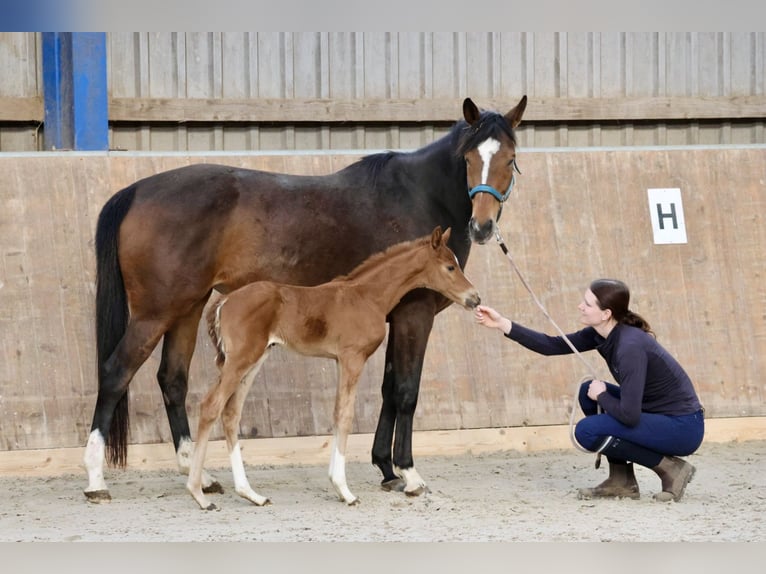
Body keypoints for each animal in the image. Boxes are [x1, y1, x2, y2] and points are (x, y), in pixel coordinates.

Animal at [189, 227, 480, 510]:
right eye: (450, 267)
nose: (475, 298)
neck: (367, 296)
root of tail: (224, 301)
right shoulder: (353, 358)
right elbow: (345, 415)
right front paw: (345, 490)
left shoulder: (340, 360)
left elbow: (338, 412)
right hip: (240, 360)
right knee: (211, 406)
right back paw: (199, 494)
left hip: (254, 360)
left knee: (231, 413)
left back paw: (251, 494)